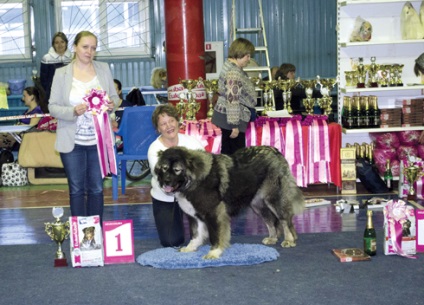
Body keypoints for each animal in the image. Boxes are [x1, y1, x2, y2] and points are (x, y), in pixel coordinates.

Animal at [156, 146, 304, 258]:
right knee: (271, 221)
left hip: (274, 198)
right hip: (258, 205)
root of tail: (275, 151)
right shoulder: (194, 215)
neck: (194, 181)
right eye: (164, 168)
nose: (166, 181)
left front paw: (214, 252)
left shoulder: (214, 213)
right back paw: (273, 238)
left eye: (177, 170)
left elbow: (216, 235)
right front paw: (190, 247)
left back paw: (289, 239)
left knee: (285, 220)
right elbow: (196, 234)